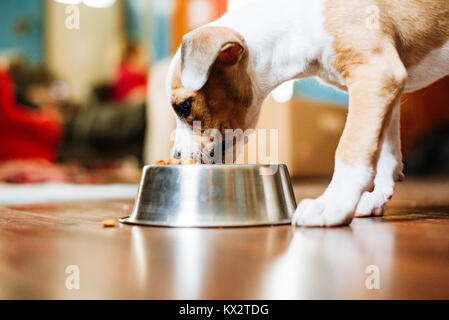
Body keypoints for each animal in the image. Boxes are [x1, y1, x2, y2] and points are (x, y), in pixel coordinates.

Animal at [165, 0, 448, 226]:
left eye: (184, 106)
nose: (175, 156)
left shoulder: (376, 73)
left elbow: (351, 148)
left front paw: (334, 203)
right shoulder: (388, 87)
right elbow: (386, 150)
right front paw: (377, 196)